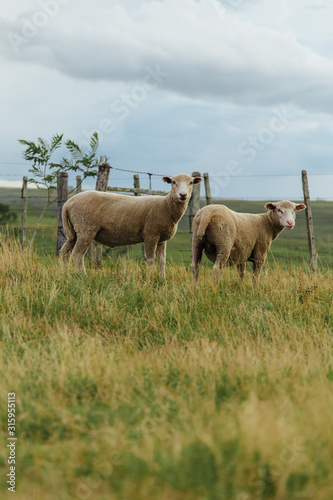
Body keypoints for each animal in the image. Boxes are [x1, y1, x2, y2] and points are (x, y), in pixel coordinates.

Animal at [58, 173, 201, 276]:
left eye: (191, 182)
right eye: (173, 182)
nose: (183, 195)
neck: (165, 206)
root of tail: (68, 203)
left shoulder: (161, 238)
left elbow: (162, 260)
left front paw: (162, 279)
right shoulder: (150, 234)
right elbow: (150, 259)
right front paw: (149, 279)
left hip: (75, 231)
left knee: (64, 252)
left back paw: (66, 275)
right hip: (85, 229)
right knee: (77, 254)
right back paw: (82, 276)